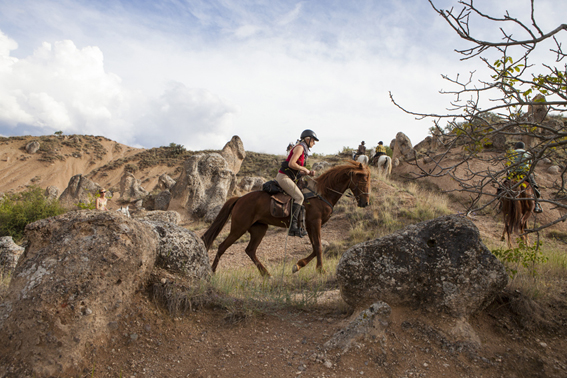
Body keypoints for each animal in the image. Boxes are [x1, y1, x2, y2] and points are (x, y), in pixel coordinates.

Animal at [201, 161, 372, 276]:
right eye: (363, 179)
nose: (365, 203)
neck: (322, 193)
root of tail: (240, 199)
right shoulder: (315, 223)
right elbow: (318, 247)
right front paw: (320, 270)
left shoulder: (309, 226)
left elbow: (314, 247)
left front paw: (298, 265)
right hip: (239, 228)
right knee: (222, 247)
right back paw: (213, 272)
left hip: (259, 229)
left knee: (250, 250)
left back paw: (266, 275)